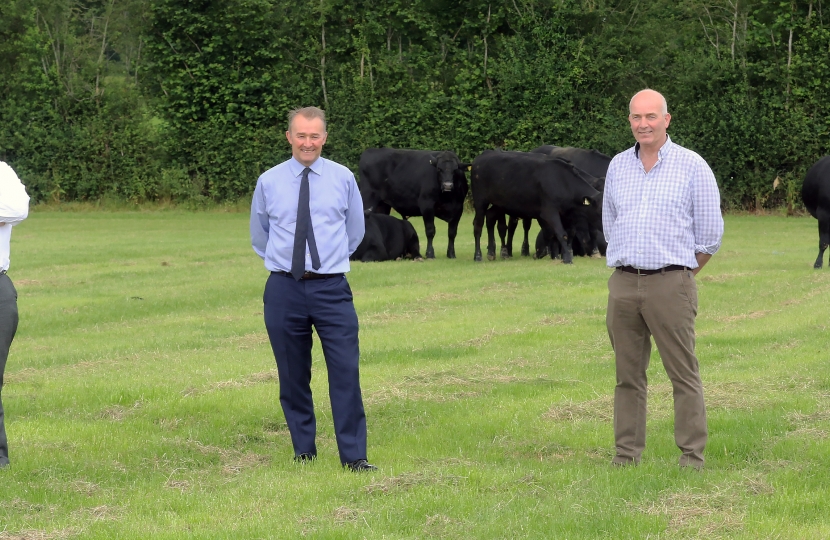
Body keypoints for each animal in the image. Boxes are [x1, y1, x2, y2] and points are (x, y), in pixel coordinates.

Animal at [472, 150, 600, 264]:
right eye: (599, 211)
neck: (562, 181)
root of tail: (483, 156)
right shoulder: (549, 212)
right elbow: (560, 233)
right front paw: (567, 258)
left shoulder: (564, 214)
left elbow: (561, 234)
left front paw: (553, 255)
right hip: (480, 201)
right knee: (478, 226)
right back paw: (478, 256)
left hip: (499, 204)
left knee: (490, 216)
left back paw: (491, 253)